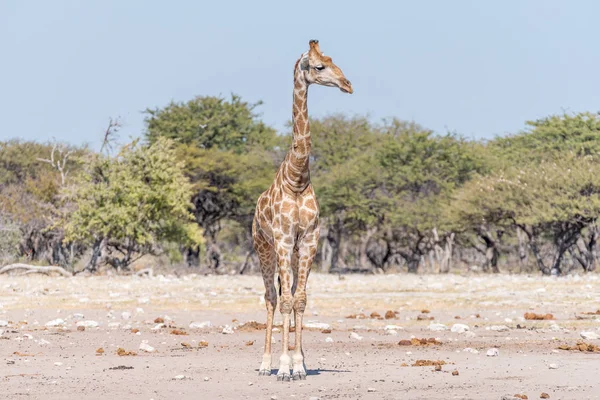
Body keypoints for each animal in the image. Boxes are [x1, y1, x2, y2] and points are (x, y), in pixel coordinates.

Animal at [252, 39, 352, 382]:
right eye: (319, 66)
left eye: (335, 61)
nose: (347, 84)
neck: (297, 178)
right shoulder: (283, 239)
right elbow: (283, 302)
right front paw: (284, 367)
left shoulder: (309, 240)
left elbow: (300, 300)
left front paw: (299, 365)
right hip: (264, 247)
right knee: (271, 297)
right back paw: (265, 364)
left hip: (293, 252)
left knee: (291, 292)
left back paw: (300, 362)